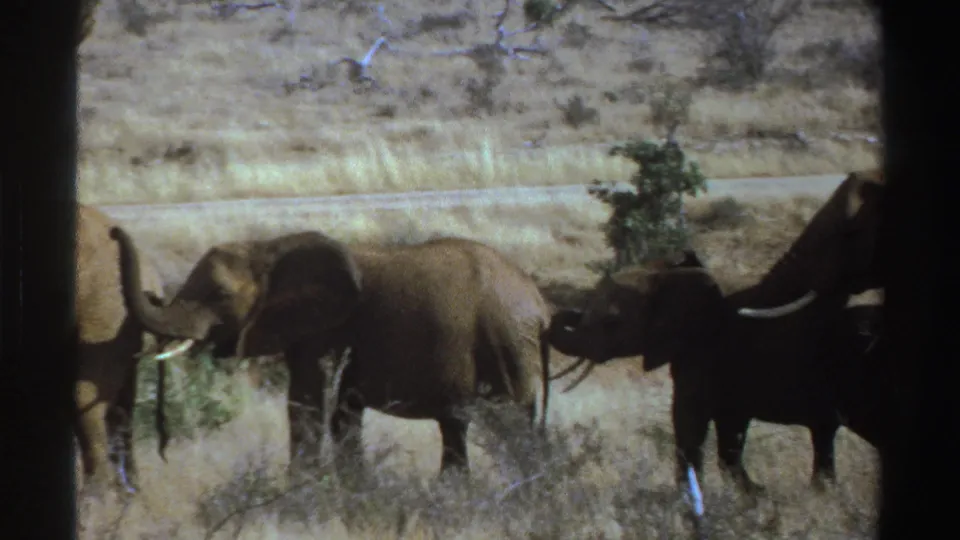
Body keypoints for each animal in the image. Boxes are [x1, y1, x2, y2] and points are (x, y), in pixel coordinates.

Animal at [108, 228, 553, 477]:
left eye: (218, 294)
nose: (114, 232)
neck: (268, 247)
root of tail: (540, 305)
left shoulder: (326, 332)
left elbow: (306, 404)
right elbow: (342, 413)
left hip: (508, 341)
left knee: (511, 422)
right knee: (459, 425)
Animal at [548, 265, 884, 502]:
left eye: (612, 322)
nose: (571, 312)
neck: (667, 275)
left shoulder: (704, 361)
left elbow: (689, 426)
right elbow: (727, 441)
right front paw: (756, 495)